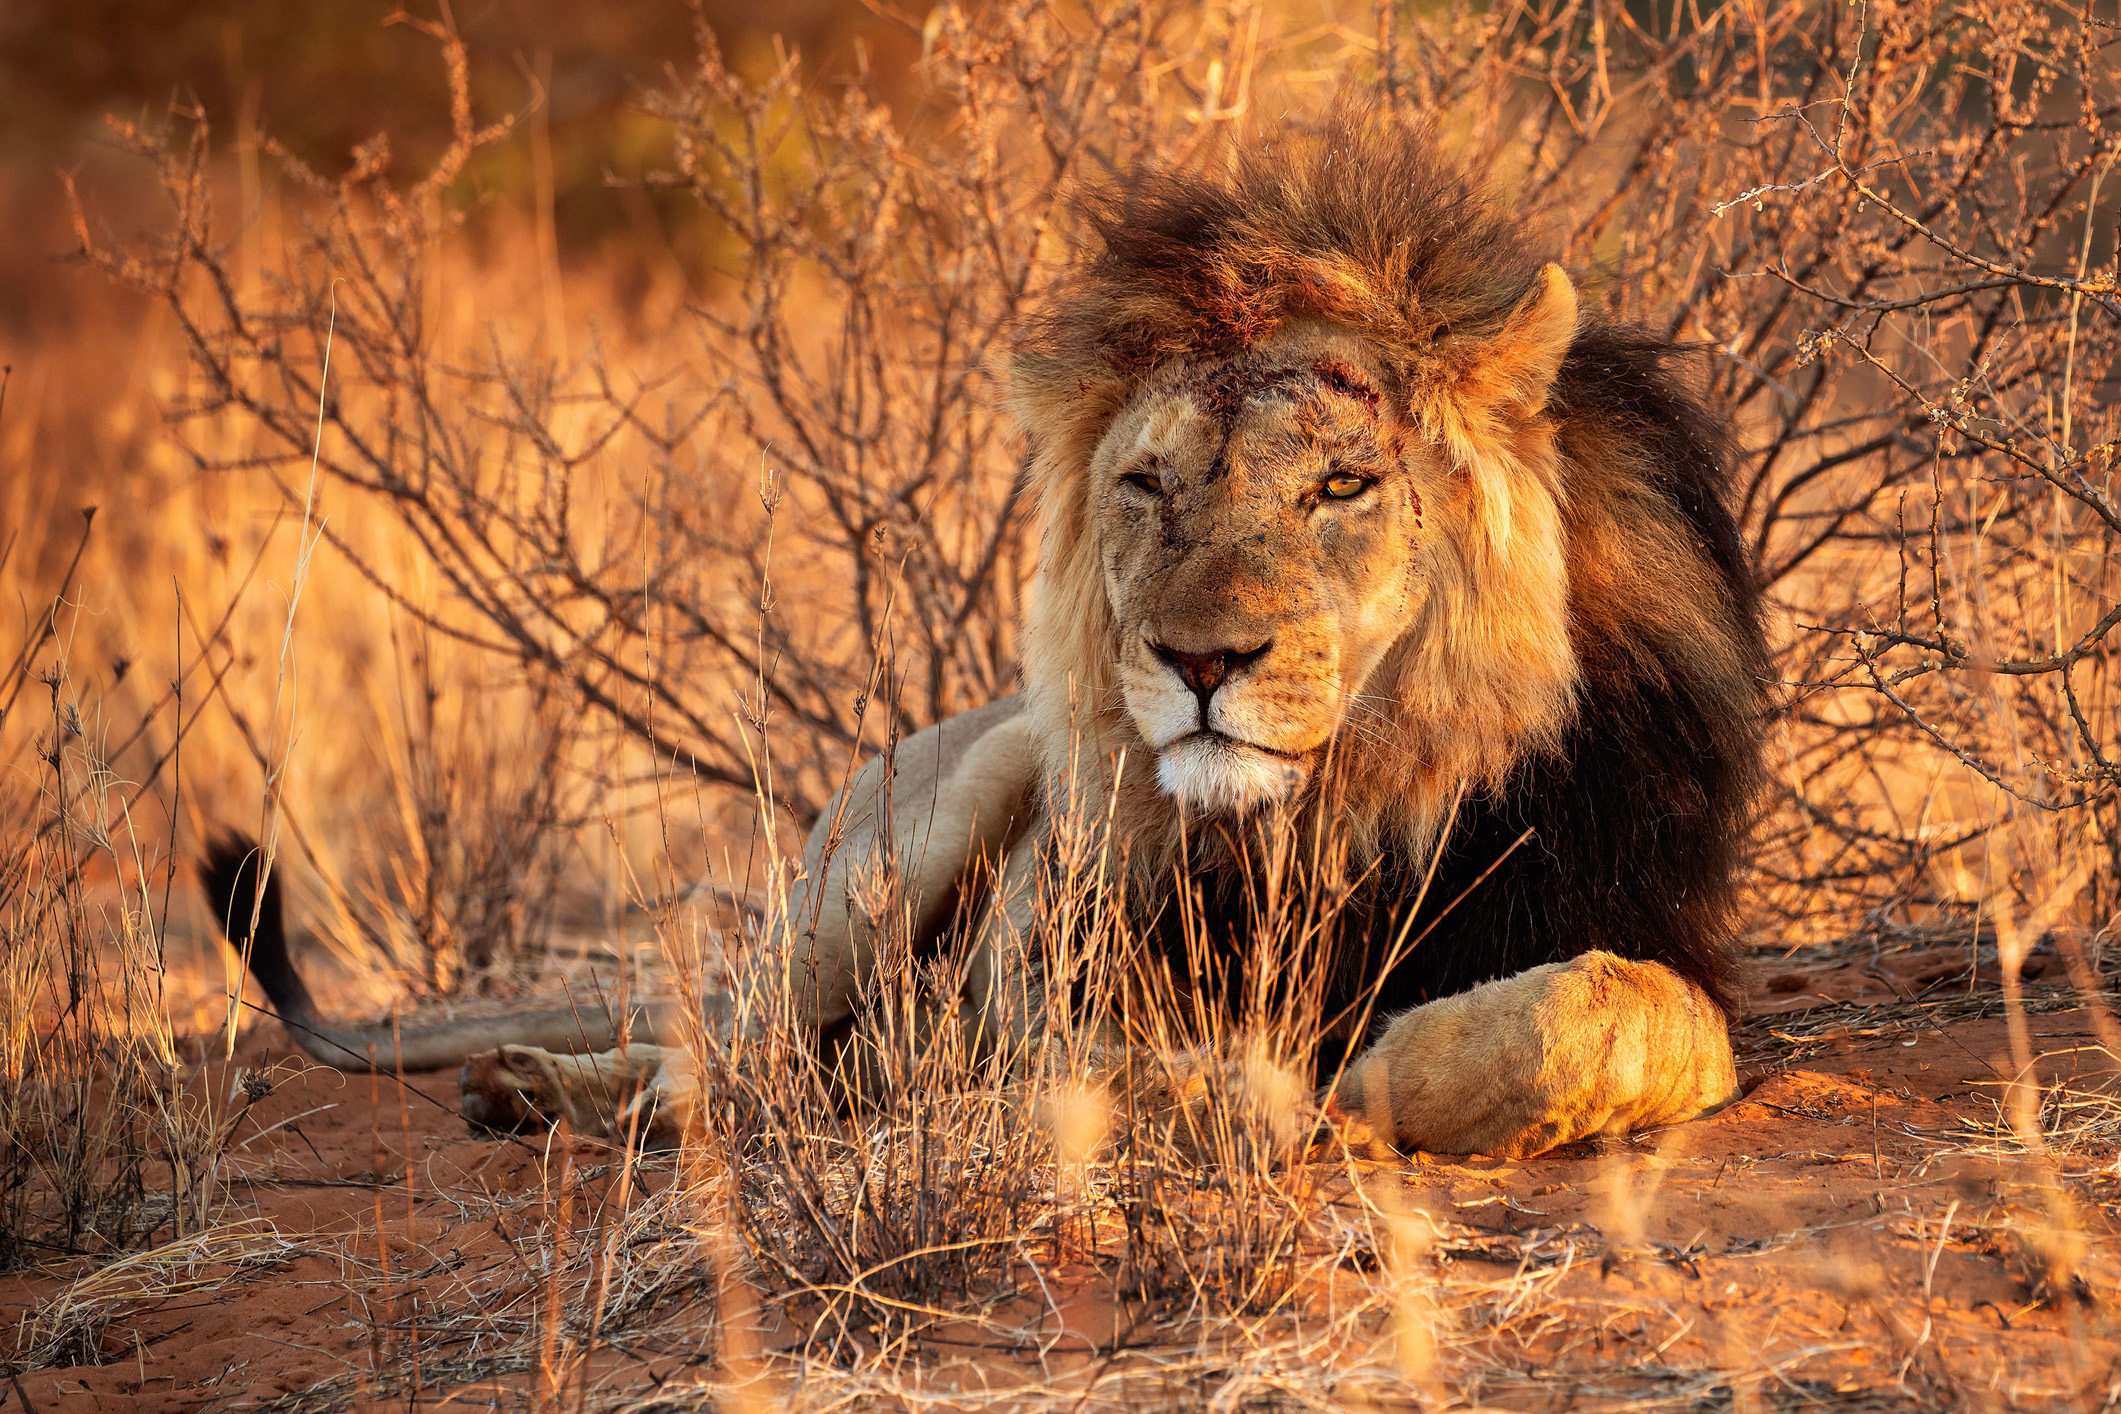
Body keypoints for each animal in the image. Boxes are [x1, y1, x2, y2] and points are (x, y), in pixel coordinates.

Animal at [204, 115, 1764, 1161]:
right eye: (1148, 486)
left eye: (1339, 486)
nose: (1201, 665)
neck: (1349, 811)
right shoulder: (1060, 975)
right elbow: (1122, 1068)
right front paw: (1276, 1090)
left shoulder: (1632, 919)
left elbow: (1624, 1018)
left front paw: (1386, 1064)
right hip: (907, 839)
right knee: (731, 1047)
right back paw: (559, 1087)